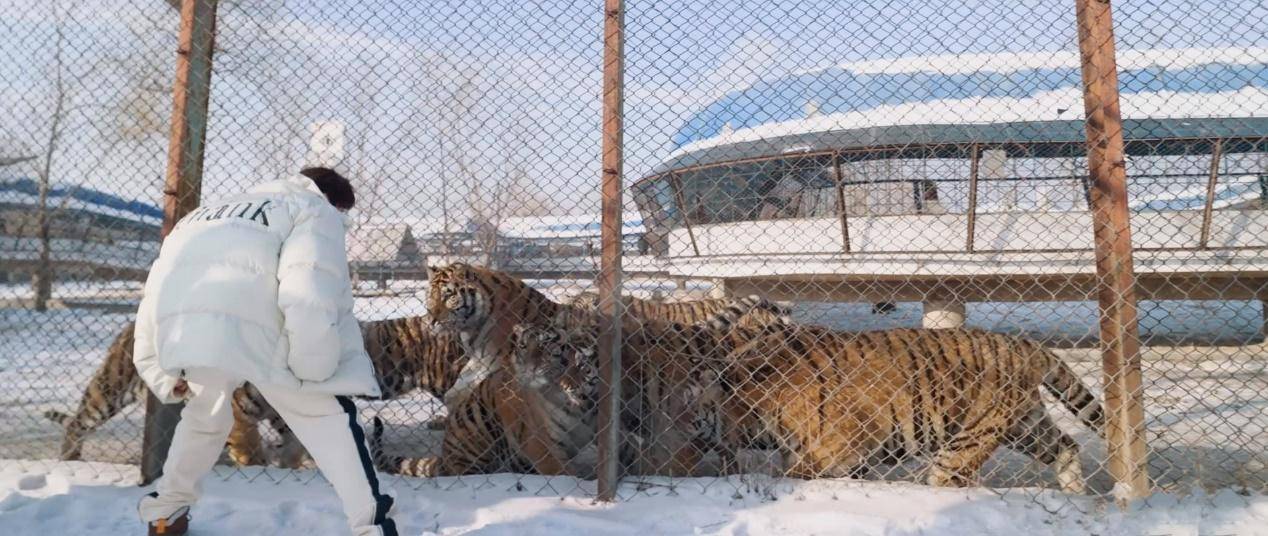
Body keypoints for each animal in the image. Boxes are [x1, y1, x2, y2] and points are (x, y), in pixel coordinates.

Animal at [45, 316, 471, 468]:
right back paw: (69, 458)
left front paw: (292, 464)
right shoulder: (239, 406)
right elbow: (248, 442)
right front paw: (258, 463)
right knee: (80, 419)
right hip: (114, 386)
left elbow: (294, 443)